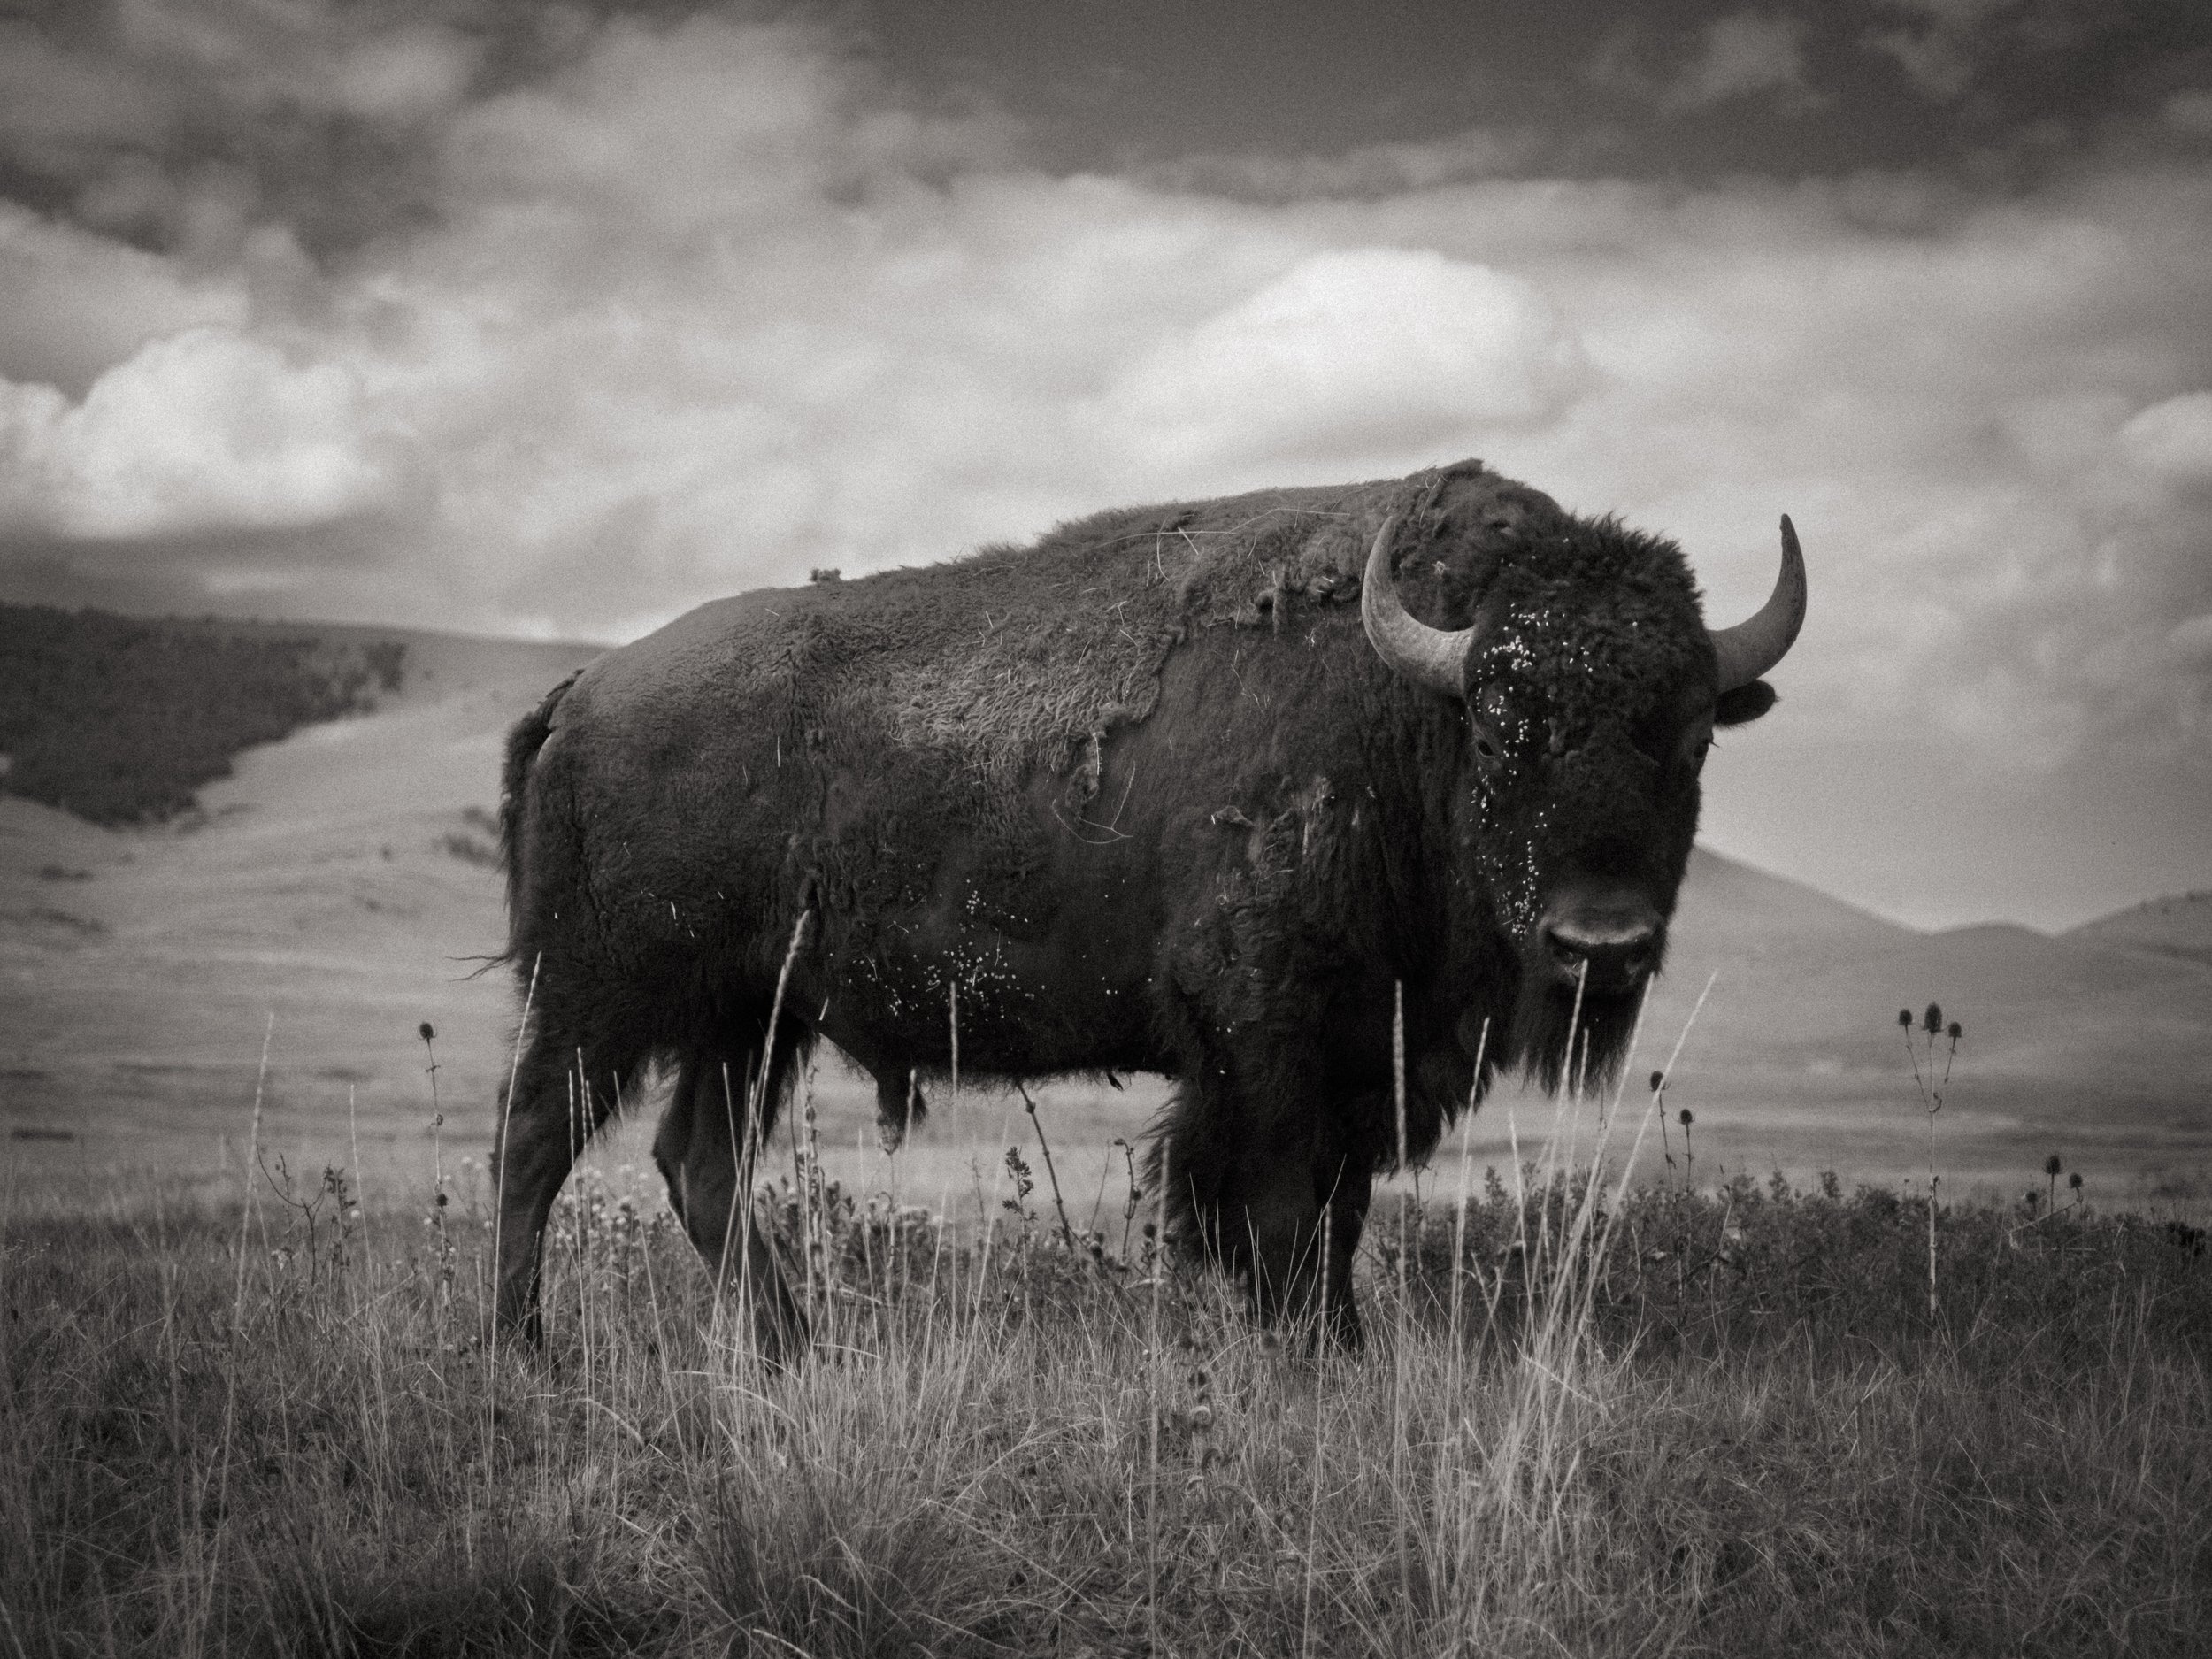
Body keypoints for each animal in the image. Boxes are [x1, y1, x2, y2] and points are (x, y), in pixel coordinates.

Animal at [491, 460, 1804, 1355]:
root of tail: (583, 689)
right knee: (534, 1141)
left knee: (697, 1161)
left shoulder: (1359, 1054)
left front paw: (1330, 1349)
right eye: (1497, 729)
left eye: (1691, 738)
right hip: (601, 996)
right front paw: (1312, 1356)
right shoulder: (1269, 1037)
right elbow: (1278, 1206)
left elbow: (1335, 1210)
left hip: (749, 1019)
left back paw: (796, 1350)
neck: (1402, 709)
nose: (1601, 944)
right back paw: (525, 1353)